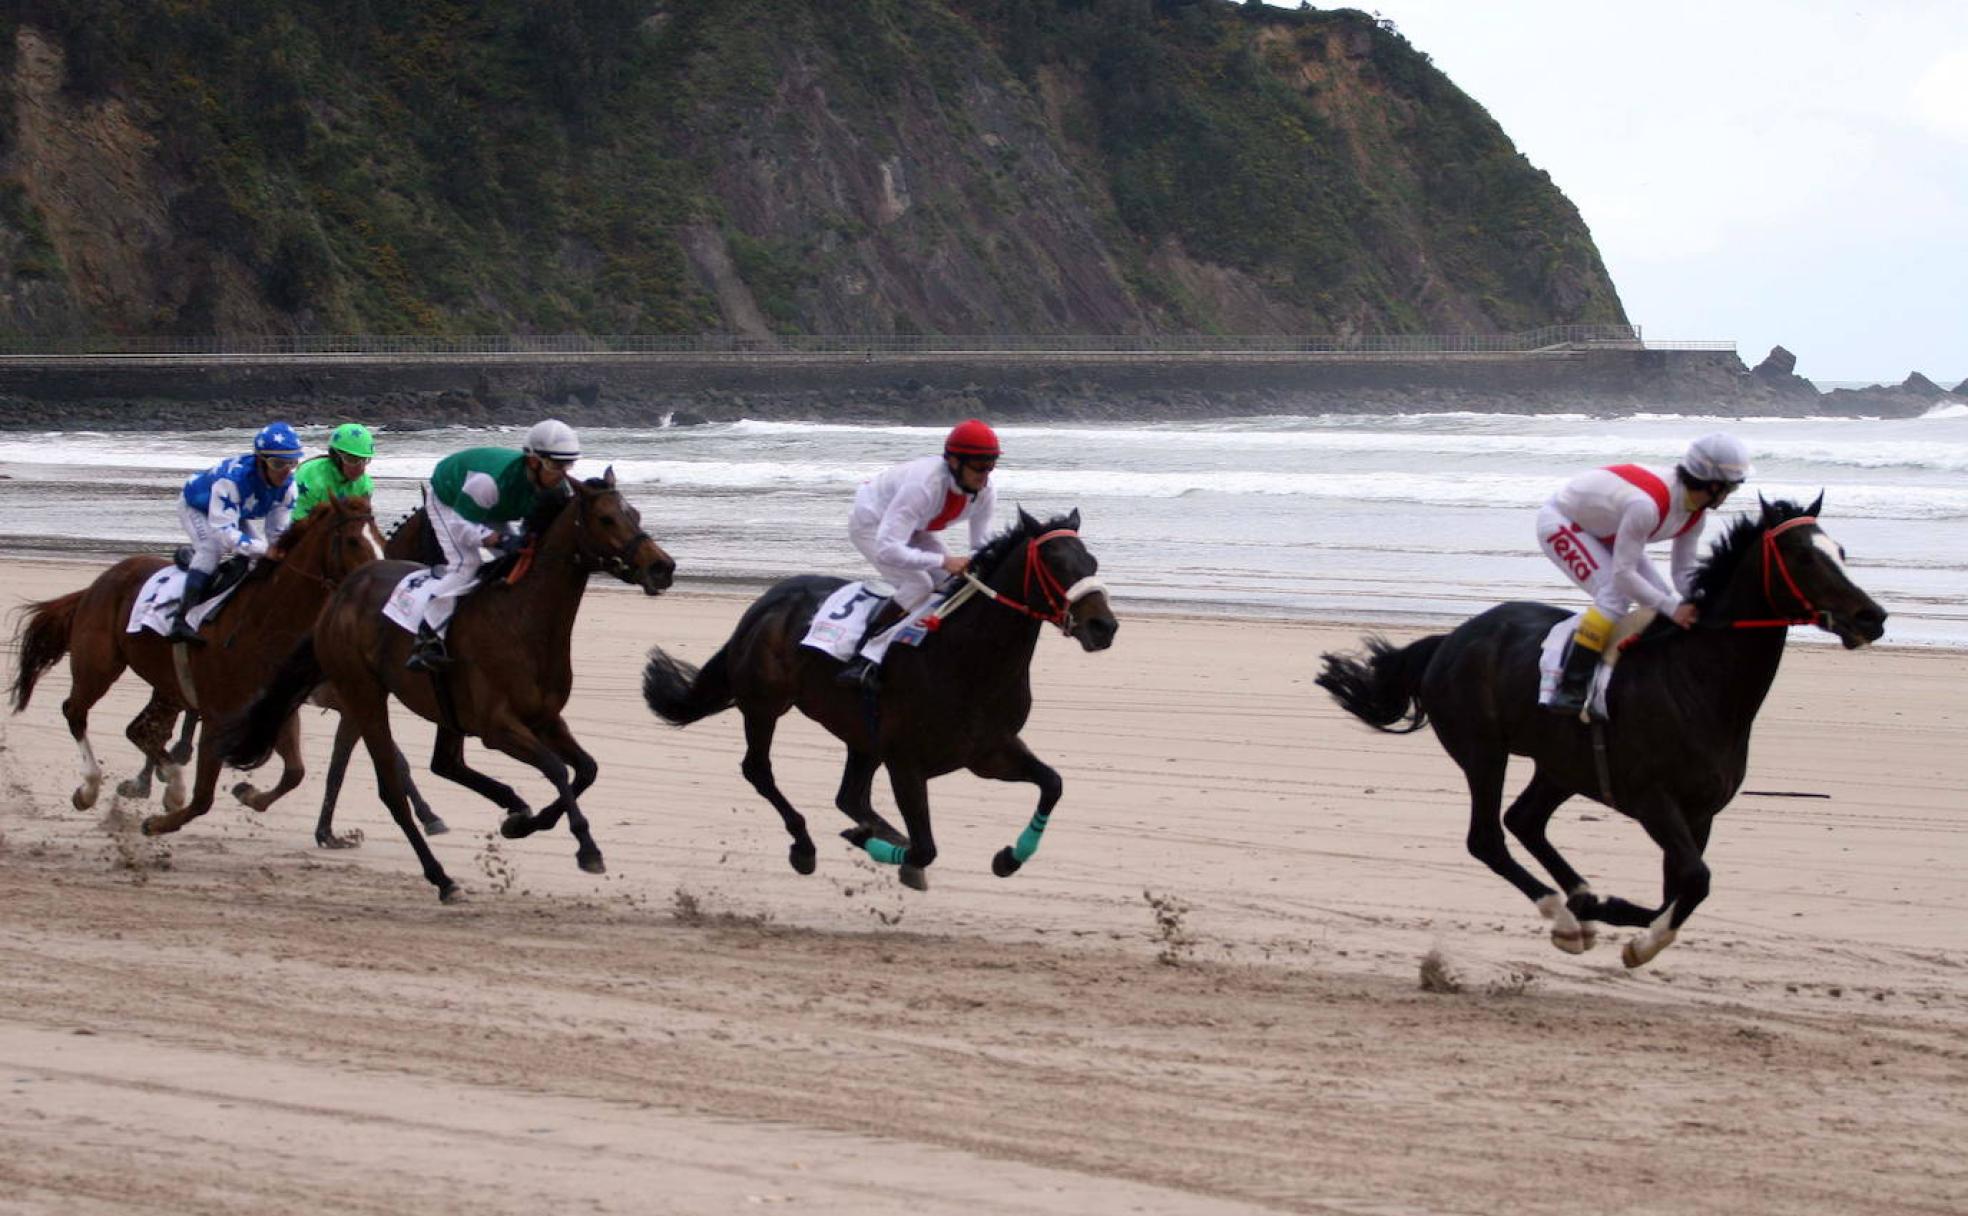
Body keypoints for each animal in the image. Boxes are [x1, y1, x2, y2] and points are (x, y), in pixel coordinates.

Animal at [9, 491, 387, 822]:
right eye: (353, 541)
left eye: (381, 538)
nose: (378, 584)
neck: (264, 620)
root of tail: (99, 582)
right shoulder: (218, 715)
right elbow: (205, 794)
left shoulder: (275, 707)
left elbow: (295, 772)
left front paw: (248, 795)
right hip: (98, 663)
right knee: (75, 711)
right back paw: (91, 788)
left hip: (167, 685)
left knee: (140, 730)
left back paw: (170, 786)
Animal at [220, 474, 673, 901]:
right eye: (606, 518)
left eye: (635, 514)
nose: (662, 567)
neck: (523, 621)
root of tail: (339, 598)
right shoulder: (498, 727)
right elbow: (557, 769)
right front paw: (587, 848)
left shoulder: (545, 719)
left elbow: (587, 769)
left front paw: (524, 823)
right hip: (363, 694)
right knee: (392, 789)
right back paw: (442, 877)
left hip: (434, 708)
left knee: (441, 763)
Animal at [637, 503, 1117, 889]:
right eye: (1055, 562)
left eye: (1091, 559)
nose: (1104, 626)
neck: (969, 660)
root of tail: (764, 603)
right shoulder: (905, 761)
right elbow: (925, 847)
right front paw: (877, 844)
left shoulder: (989, 751)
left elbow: (1052, 784)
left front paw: (1009, 858)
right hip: (764, 705)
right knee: (758, 770)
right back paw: (805, 845)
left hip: (859, 734)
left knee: (849, 796)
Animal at [1314, 491, 1881, 964]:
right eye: (1804, 557)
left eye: (1841, 551)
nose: (1871, 617)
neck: (1698, 683)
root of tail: (1447, 641)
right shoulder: (1654, 800)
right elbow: (1695, 880)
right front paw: (1637, 942)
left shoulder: (1700, 813)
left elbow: (1680, 887)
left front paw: (1614, 913)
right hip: (1482, 750)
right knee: (1487, 838)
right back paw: (1565, 917)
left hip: (1560, 765)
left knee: (1524, 820)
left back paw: (1582, 902)